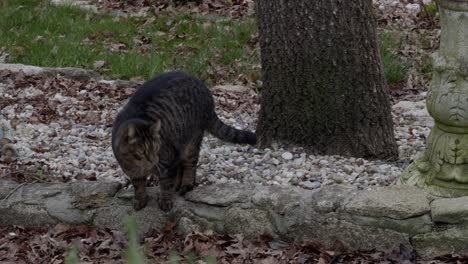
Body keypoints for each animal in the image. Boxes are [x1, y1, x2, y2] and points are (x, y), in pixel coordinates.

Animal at [112, 71, 258, 211]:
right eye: (142, 151)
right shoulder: (132, 173)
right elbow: (139, 187)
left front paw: (165, 201)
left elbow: (166, 185)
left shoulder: (167, 162)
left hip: (191, 143)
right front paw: (140, 200)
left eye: (156, 148)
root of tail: (204, 88)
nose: (154, 160)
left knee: (190, 165)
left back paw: (186, 184)